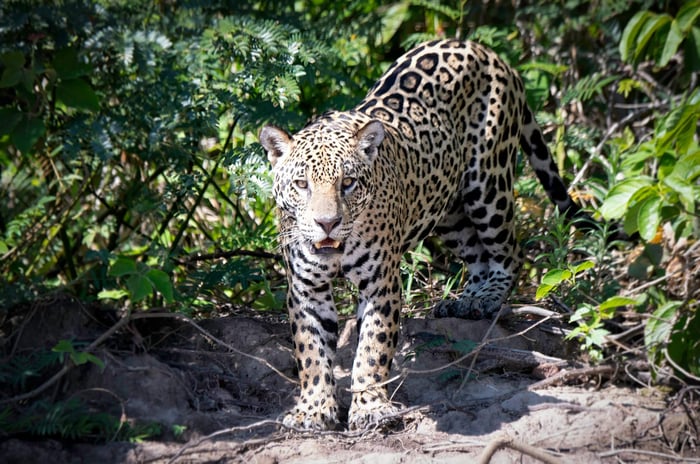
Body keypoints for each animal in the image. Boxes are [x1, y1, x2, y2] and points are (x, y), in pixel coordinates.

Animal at [259, 38, 594, 431]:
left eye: (348, 183)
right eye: (301, 185)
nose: (327, 223)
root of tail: (484, 50)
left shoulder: (381, 285)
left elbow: (372, 348)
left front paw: (370, 406)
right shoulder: (306, 289)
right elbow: (310, 353)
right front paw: (313, 408)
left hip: (488, 184)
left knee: (509, 252)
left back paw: (487, 298)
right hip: (448, 211)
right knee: (477, 255)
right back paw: (466, 299)